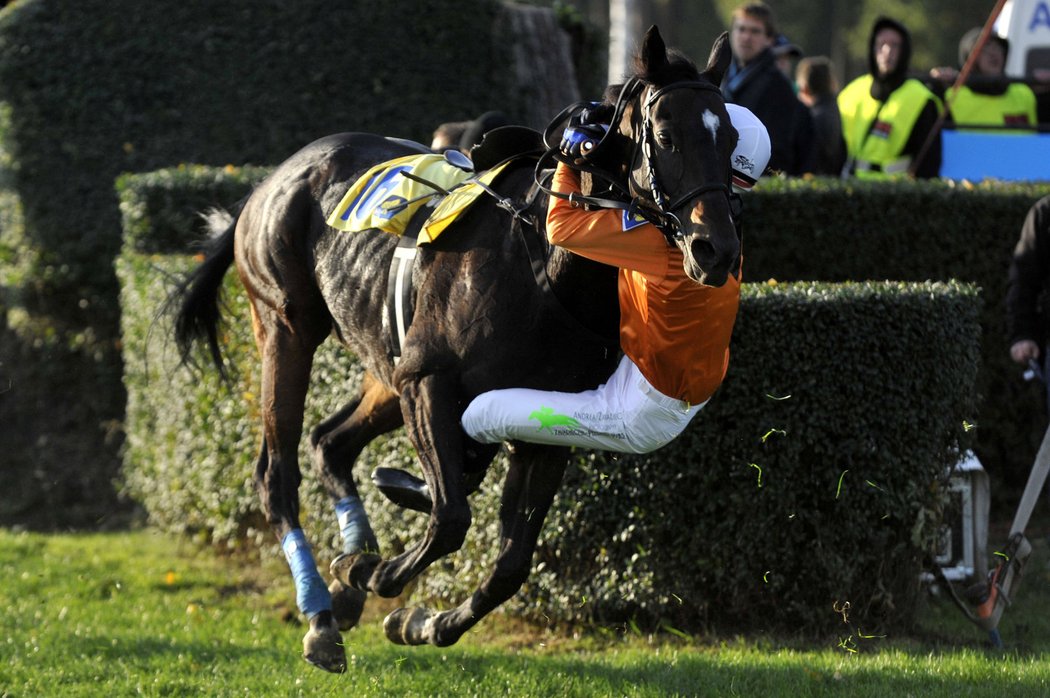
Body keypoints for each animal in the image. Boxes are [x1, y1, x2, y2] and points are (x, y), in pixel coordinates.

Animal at [174, 25, 739, 671]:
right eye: (666, 136)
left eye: (732, 140)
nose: (716, 248)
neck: (548, 265)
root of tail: (268, 181)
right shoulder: (430, 383)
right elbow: (449, 518)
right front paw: (373, 572)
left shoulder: (544, 426)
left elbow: (512, 562)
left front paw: (420, 618)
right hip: (286, 328)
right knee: (277, 473)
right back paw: (319, 611)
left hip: (385, 367)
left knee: (330, 442)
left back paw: (346, 582)